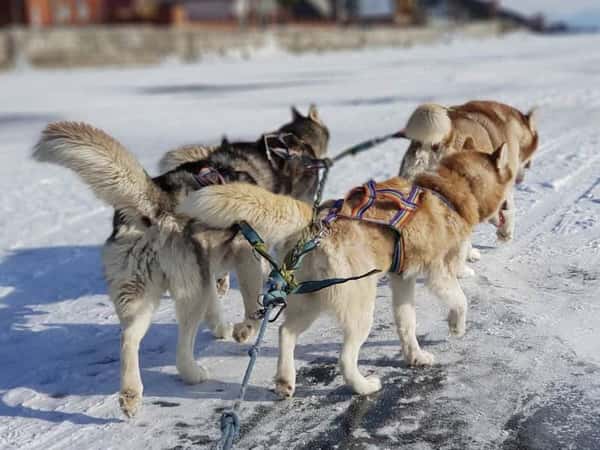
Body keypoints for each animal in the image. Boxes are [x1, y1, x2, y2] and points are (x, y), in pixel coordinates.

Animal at [32, 106, 328, 418]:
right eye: (309, 163)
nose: (322, 166)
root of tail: (156, 206)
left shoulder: (209, 267)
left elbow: (217, 305)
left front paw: (222, 328)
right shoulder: (246, 253)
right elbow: (251, 301)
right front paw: (245, 328)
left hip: (140, 295)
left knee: (129, 338)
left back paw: (130, 394)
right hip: (190, 292)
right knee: (183, 348)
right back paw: (193, 373)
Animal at [180, 144, 512, 398]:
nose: (509, 209)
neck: (447, 192)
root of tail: (315, 222)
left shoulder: (402, 279)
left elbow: (407, 323)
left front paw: (415, 355)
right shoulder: (438, 272)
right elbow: (460, 299)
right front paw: (457, 326)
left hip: (310, 300)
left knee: (286, 332)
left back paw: (286, 379)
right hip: (359, 307)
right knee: (344, 359)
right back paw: (363, 386)